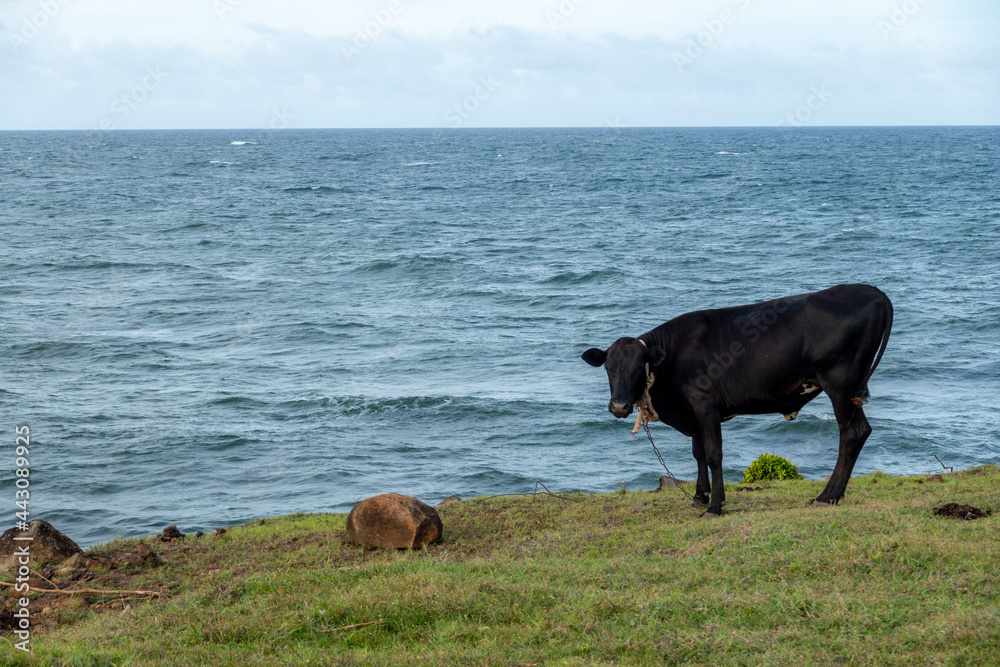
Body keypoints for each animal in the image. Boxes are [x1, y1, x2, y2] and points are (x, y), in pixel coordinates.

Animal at [584, 284, 896, 520]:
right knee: (860, 431)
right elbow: (698, 453)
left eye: (639, 368)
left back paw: (827, 496)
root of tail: (868, 291)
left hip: (841, 387)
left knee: (851, 434)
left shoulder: (705, 405)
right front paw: (700, 496)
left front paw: (714, 506)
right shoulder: (694, 412)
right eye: (609, 368)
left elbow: (713, 454)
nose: (619, 407)